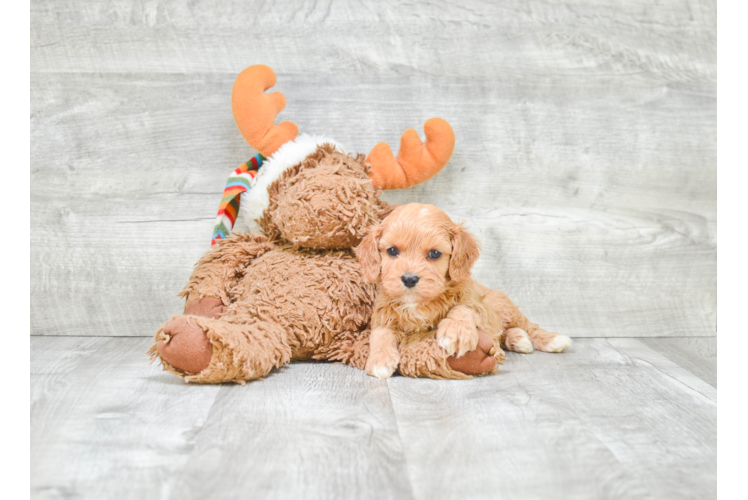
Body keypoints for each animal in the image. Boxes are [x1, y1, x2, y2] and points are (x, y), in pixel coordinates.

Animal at [356, 201, 572, 376]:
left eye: (435, 254)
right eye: (392, 251)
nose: (409, 279)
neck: (418, 304)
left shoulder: (480, 307)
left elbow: (464, 308)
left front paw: (456, 331)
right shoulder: (383, 316)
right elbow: (380, 333)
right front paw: (379, 359)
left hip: (505, 307)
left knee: (529, 326)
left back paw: (551, 339)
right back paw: (518, 339)